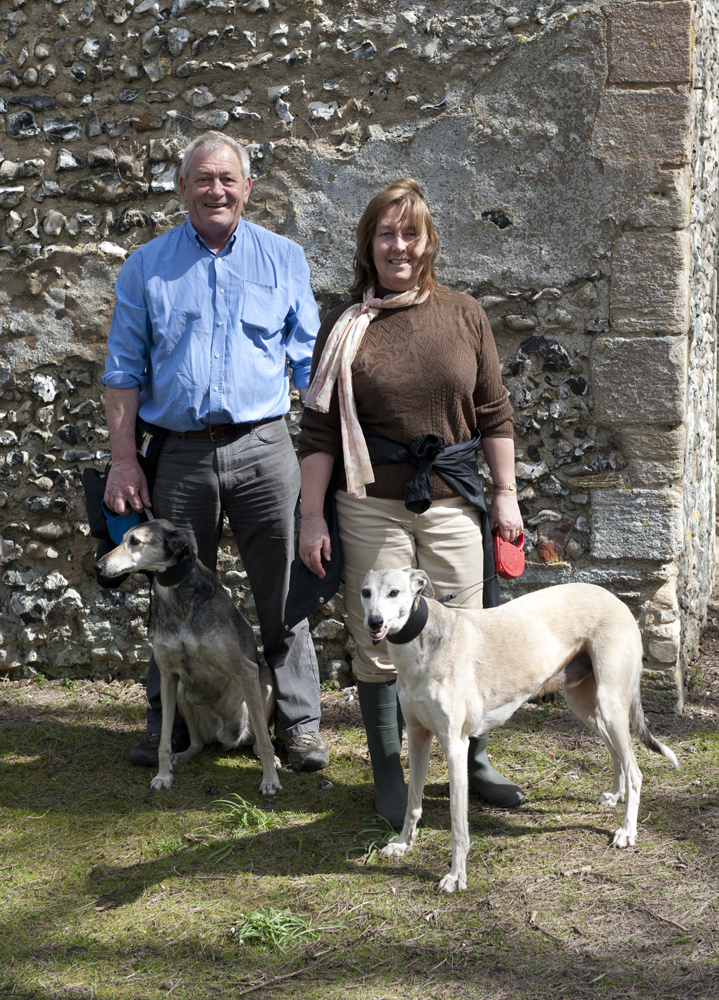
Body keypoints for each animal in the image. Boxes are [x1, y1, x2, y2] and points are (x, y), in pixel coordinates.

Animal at [362, 568, 676, 896]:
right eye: (365, 592)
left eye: (395, 592)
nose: (374, 623)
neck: (424, 646)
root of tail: (616, 600)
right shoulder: (418, 736)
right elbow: (412, 801)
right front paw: (402, 844)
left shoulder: (455, 745)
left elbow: (458, 825)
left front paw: (456, 876)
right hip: (590, 709)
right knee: (619, 757)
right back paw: (616, 794)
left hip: (610, 704)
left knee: (635, 771)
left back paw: (627, 830)